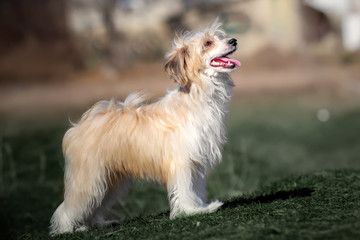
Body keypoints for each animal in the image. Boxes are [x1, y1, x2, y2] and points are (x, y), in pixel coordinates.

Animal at [49, 21, 240, 235]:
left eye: (221, 36)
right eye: (207, 43)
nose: (234, 40)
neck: (197, 95)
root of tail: (79, 126)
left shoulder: (196, 162)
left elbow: (195, 188)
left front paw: (201, 207)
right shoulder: (182, 162)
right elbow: (185, 189)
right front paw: (192, 211)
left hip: (109, 179)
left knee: (94, 205)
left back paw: (97, 223)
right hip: (90, 178)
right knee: (69, 206)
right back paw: (68, 229)